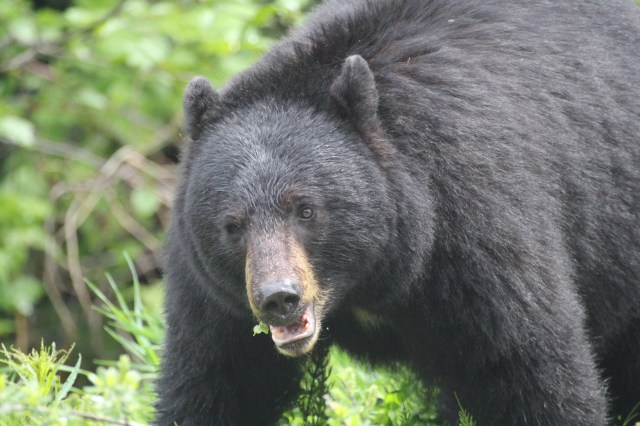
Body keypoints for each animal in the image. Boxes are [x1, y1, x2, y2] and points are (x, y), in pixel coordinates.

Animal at [155, 0, 640, 424]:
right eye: (232, 226)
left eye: (306, 210)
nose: (278, 298)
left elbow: (526, 366)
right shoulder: (213, 291)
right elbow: (215, 380)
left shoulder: (472, 224)